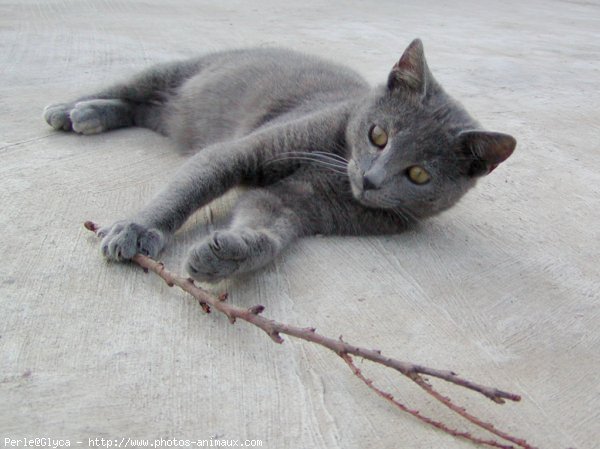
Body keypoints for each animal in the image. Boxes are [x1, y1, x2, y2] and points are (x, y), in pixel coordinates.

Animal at [45, 40, 516, 282]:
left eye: (418, 174)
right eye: (377, 135)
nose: (371, 179)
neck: (334, 173)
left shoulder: (297, 203)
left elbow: (268, 225)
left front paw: (229, 255)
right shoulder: (245, 150)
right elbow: (188, 189)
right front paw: (137, 230)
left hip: (170, 115)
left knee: (141, 109)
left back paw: (91, 115)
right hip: (177, 71)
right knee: (129, 87)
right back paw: (70, 110)